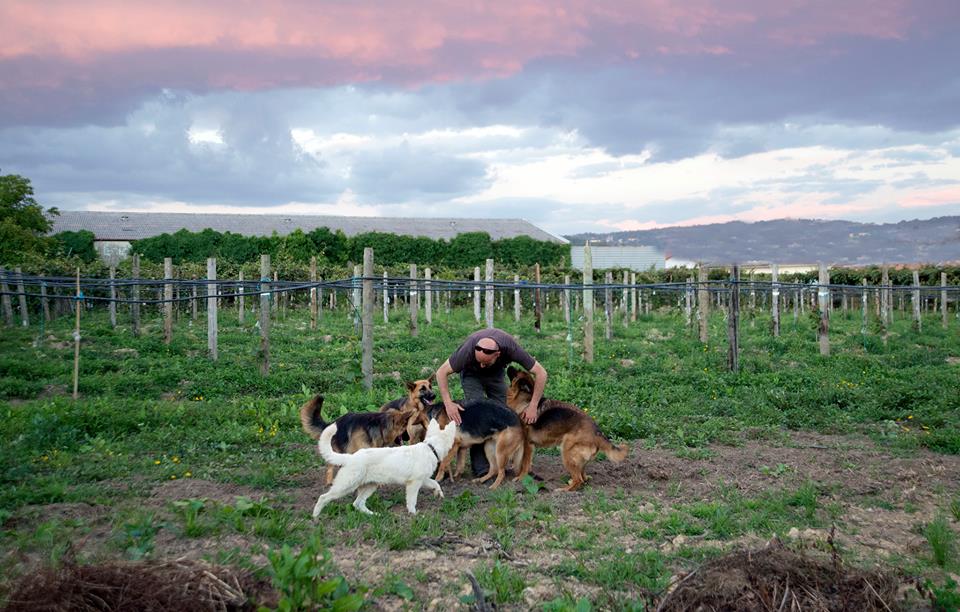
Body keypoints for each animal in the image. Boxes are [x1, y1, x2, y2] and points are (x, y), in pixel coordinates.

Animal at [310, 416, 456, 516]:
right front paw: (413, 513)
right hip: (346, 486)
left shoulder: (423, 480)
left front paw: (439, 493)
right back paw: (316, 516)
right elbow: (411, 501)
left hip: (370, 486)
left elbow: (436, 484)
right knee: (324, 497)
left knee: (358, 504)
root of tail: (350, 457)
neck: (430, 448)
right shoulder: (413, 484)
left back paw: (373, 515)